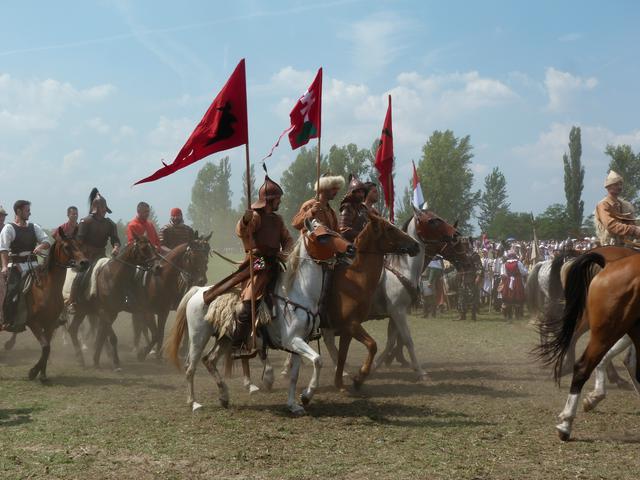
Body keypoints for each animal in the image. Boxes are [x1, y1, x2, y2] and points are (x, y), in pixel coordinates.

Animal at [21, 229, 89, 382]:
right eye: (67, 247)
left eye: (80, 244)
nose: (85, 263)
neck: (45, 288)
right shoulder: (33, 322)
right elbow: (46, 347)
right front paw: (33, 372)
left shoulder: (51, 323)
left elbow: (47, 347)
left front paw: (42, 374)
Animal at [132, 232, 212, 360]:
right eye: (193, 257)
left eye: (206, 256)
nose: (202, 280)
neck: (160, 279)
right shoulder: (149, 310)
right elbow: (157, 333)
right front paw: (147, 353)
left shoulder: (164, 311)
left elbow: (160, 333)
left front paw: (159, 354)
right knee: (140, 325)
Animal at [164, 219, 356, 414]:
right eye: (322, 236)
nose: (351, 249)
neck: (298, 293)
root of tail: (197, 291)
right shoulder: (292, 341)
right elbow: (318, 360)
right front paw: (307, 395)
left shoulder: (301, 341)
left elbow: (295, 375)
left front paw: (293, 404)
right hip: (198, 337)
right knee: (190, 367)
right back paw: (194, 403)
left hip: (225, 338)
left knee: (209, 361)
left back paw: (224, 395)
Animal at [324, 214, 420, 390]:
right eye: (389, 228)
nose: (415, 245)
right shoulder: (395, 312)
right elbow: (397, 341)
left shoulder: (393, 315)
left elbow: (391, 342)